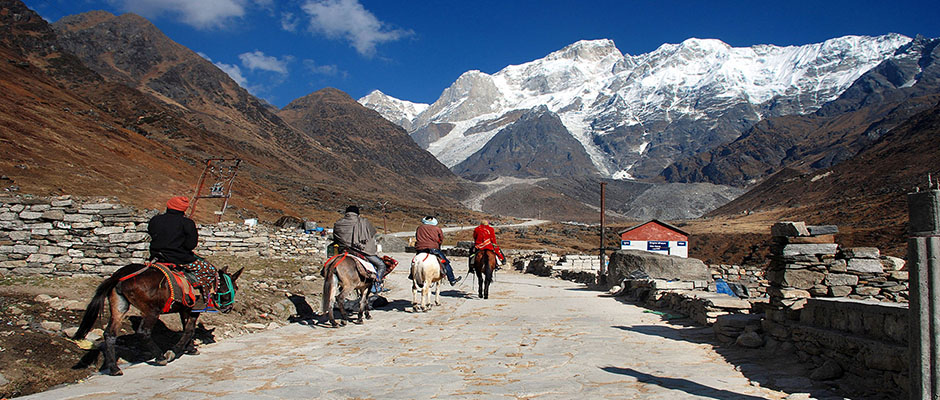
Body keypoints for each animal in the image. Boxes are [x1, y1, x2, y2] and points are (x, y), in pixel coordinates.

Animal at [72, 262, 242, 376]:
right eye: (234, 287)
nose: (228, 308)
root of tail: (119, 276)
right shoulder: (194, 309)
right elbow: (189, 330)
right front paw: (175, 351)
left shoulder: (184, 309)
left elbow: (186, 328)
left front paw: (190, 348)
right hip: (151, 311)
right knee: (143, 332)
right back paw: (160, 357)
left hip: (119, 307)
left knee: (109, 334)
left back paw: (114, 368)